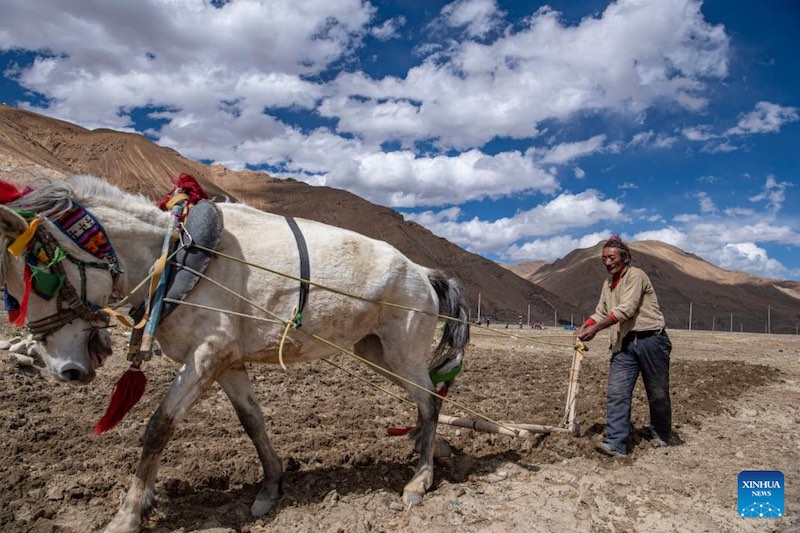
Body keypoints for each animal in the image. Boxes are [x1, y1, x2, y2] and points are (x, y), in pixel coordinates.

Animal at [0, 176, 468, 532]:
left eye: (39, 280)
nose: (64, 370)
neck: (175, 256)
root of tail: (424, 272)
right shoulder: (227, 364)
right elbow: (253, 423)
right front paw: (270, 488)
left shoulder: (205, 357)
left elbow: (159, 427)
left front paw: (129, 513)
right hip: (375, 352)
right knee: (427, 397)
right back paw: (431, 451)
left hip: (402, 351)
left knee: (430, 401)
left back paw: (419, 480)